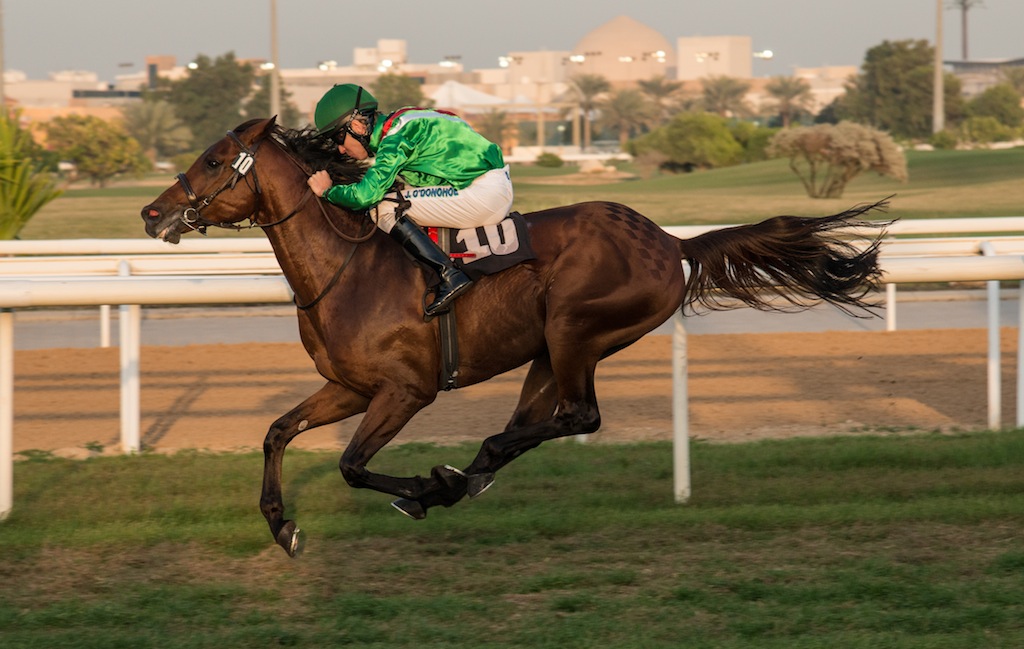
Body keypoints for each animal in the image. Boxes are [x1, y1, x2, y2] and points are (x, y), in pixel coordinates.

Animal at [142, 117, 888, 556]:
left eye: (215, 160)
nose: (151, 213)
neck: (347, 266)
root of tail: (671, 241)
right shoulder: (349, 386)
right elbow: (275, 431)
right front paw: (282, 523)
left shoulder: (405, 391)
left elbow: (351, 464)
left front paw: (417, 484)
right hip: (545, 352)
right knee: (536, 420)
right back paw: (464, 474)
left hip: (573, 328)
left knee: (578, 416)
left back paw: (454, 476)